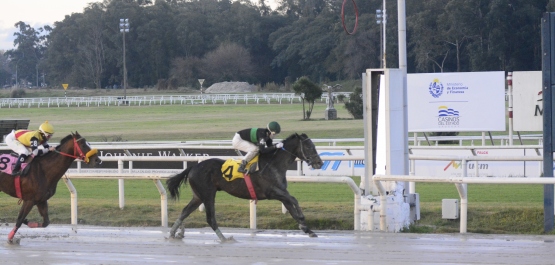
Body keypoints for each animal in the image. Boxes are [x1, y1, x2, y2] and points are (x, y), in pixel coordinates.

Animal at [167, 132, 324, 241]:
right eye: (309, 147)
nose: (320, 163)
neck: (274, 164)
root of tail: (193, 167)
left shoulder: (281, 193)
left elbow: (291, 207)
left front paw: (307, 229)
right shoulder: (272, 192)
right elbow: (294, 200)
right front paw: (303, 220)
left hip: (198, 195)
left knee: (185, 211)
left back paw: (173, 233)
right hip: (208, 194)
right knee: (210, 218)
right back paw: (224, 239)